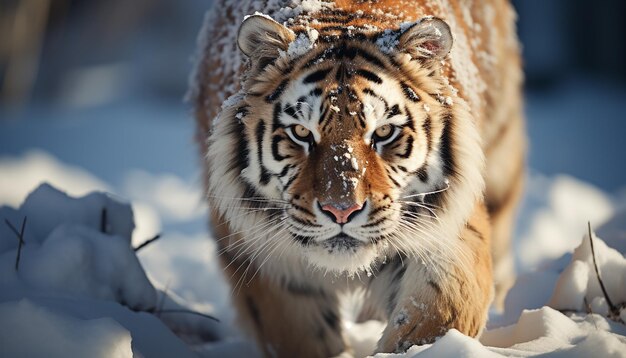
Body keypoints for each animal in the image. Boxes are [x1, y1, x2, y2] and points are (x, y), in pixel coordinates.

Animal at [188, 1, 524, 356]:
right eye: (301, 133)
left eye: (384, 132)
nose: (341, 212)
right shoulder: (267, 262)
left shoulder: (448, 234)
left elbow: (433, 321)